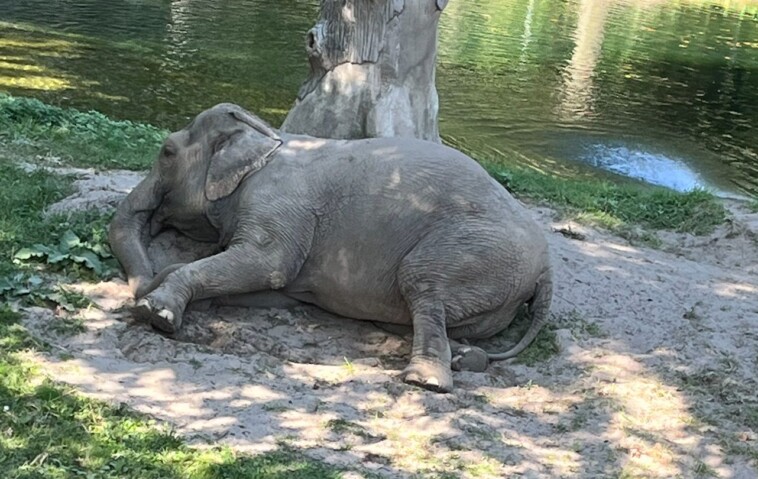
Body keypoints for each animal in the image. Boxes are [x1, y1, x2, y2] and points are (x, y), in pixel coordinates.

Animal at [110, 103, 552, 392]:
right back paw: (465, 358)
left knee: (422, 284)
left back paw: (424, 381)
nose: (143, 281)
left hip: (475, 251)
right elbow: (271, 287)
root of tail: (547, 267)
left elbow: (267, 264)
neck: (266, 137)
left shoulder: (279, 205)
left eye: (167, 152)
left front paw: (155, 312)